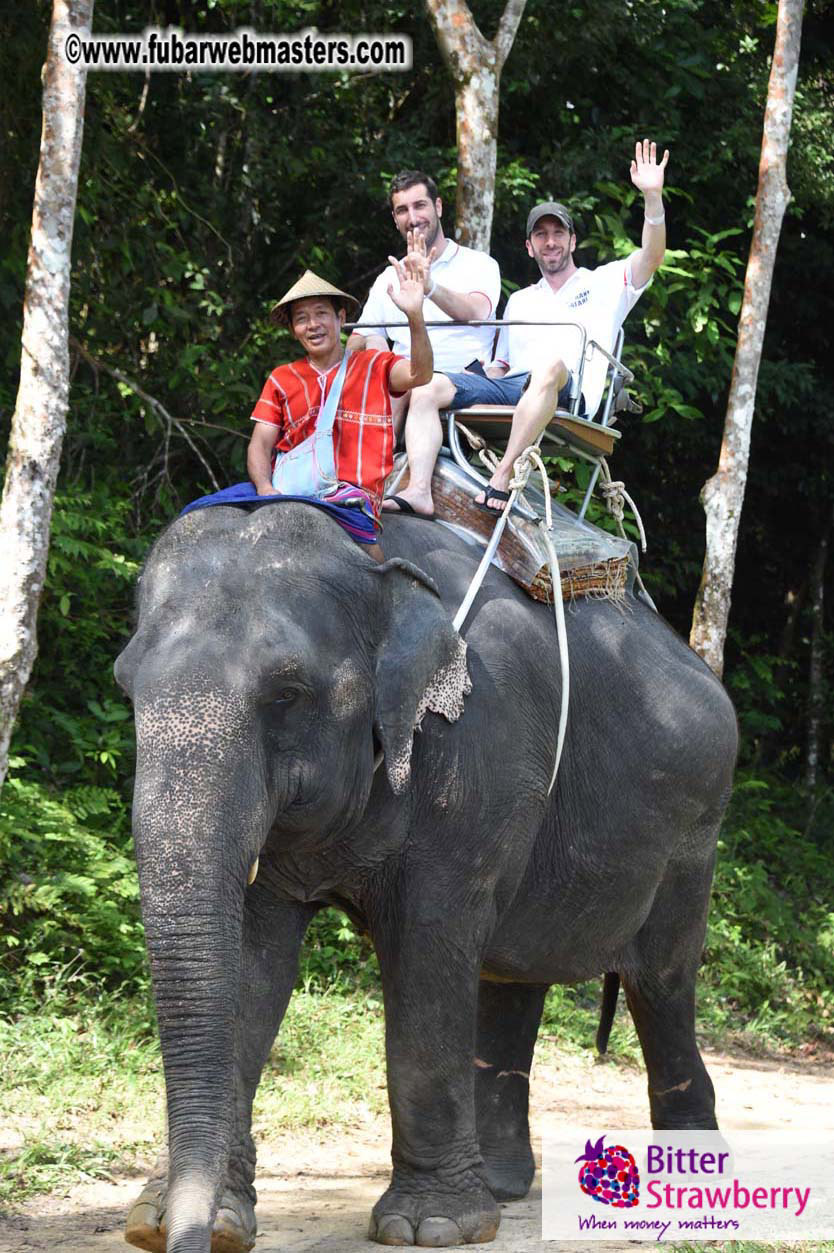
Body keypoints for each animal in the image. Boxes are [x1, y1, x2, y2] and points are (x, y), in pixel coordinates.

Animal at [114, 499, 737, 1253]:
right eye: (125, 686)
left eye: (287, 692)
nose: (185, 1236)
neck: (373, 559)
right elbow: (253, 962)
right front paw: (191, 1223)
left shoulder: (478, 755)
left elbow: (426, 948)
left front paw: (432, 1226)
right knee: (515, 970)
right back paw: (502, 1184)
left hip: (694, 831)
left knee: (662, 981)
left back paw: (692, 1182)